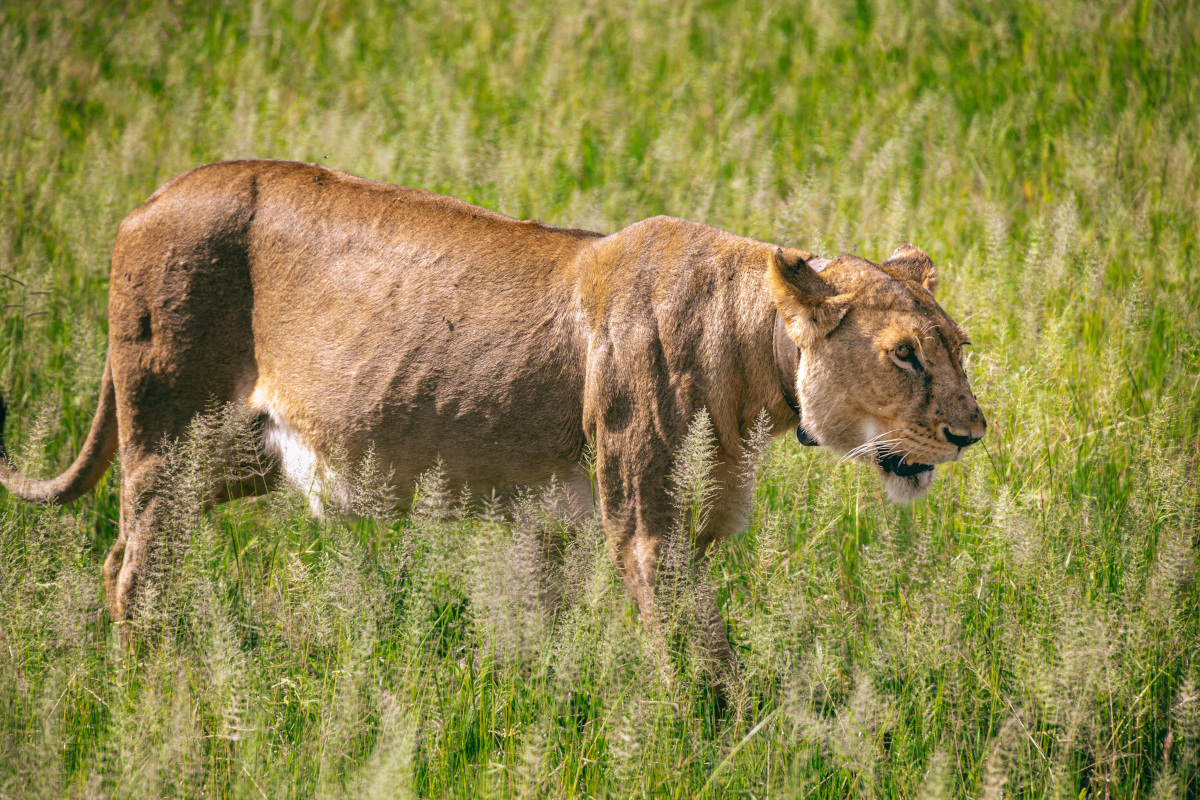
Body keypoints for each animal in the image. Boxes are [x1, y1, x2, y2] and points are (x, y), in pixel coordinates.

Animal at [0, 160, 985, 669]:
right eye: (905, 355)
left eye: (957, 345)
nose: (971, 434)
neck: (753, 352)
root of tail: (156, 194)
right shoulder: (649, 530)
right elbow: (702, 666)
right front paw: (722, 750)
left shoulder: (554, 523)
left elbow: (543, 634)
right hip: (169, 432)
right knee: (137, 567)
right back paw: (155, 692)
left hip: (231, 457)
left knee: (131, 555)